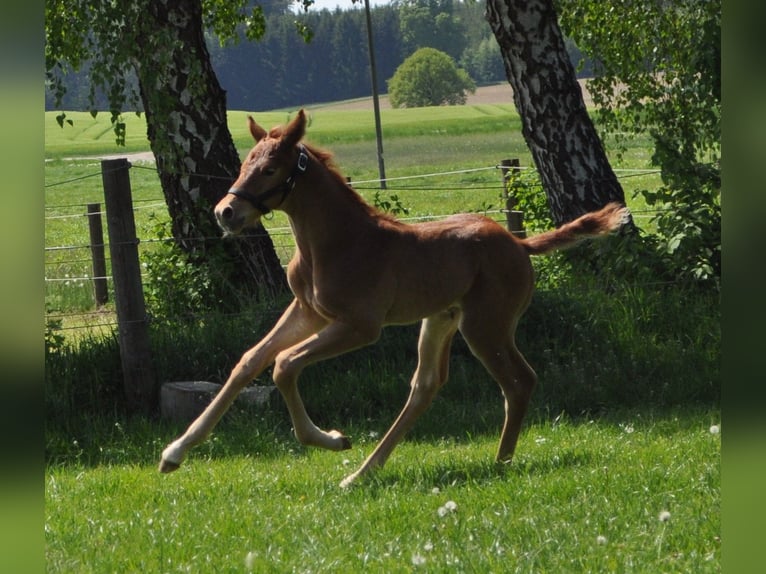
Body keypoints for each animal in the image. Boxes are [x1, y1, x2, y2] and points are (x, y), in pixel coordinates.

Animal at [159, 109, 628, 487]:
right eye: (244, 165)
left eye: (272, 168)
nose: (225, 213)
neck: (335, 242)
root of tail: (520, 244)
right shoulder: (307, 311)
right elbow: (250, 361)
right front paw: (174, 453)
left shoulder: (359, 326)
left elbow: (284, 364)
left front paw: (331, 438)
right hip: (440, 319)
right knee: (426, 385)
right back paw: (364, 472)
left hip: (486, 325)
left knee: (519, 381)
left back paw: (500, 461)